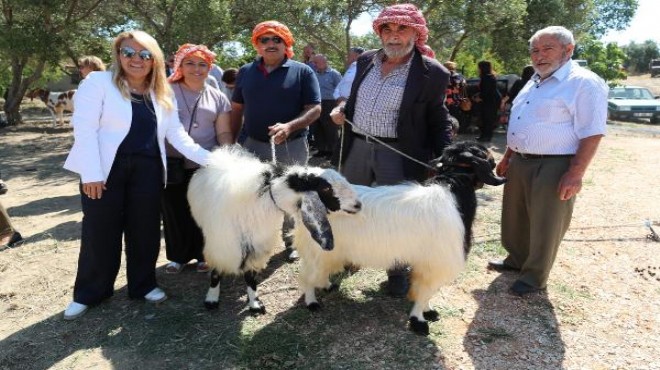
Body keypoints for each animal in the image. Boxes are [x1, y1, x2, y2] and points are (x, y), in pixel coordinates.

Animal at [186, 146, 360, 314]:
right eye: (326, 188)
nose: (358, 205)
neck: (263, 197)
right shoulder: (222, 244)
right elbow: (216, 272)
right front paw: (212, 299)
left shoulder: (256, 244)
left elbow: (250, 276)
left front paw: (255, 304)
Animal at [294, 142, 506, 336]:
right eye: (486, 157)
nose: (497, 165)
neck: (452, 190)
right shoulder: (436, 261)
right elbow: (425, 290)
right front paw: (419, 321)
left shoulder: (428, 261)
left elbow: (424, 290)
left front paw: (428, 312)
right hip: (319, 248)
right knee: (306, 276)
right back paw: (312, 302)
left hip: (328, 251)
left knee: (319, 272)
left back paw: (327, 286)